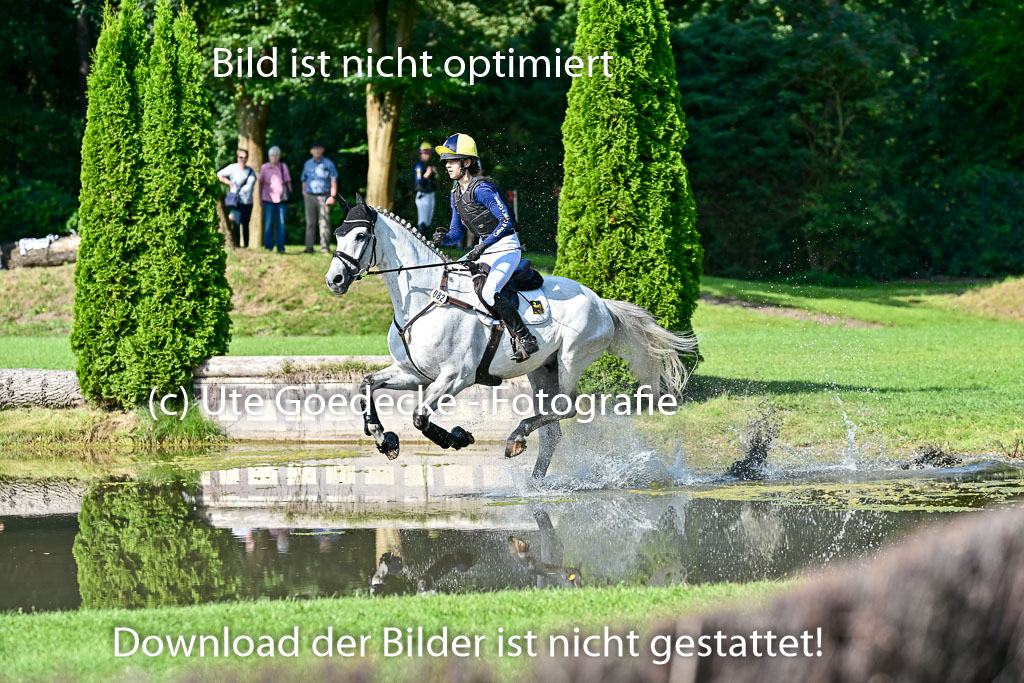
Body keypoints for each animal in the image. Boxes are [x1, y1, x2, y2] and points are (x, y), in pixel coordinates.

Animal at [324, 193, 697, 478]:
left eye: (360, 237)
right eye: (338, 235)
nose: (335, 280)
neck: (425, 297)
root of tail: (601, 302)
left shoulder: (455, 377)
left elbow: (420, 417)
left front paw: (456, 437)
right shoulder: (413, 373)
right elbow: (367, 384)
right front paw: (382, 438)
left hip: (571, 359)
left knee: (566, 408)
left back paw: (517, 438)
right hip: (542, 370)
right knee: (552, 430)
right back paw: (533, 481)